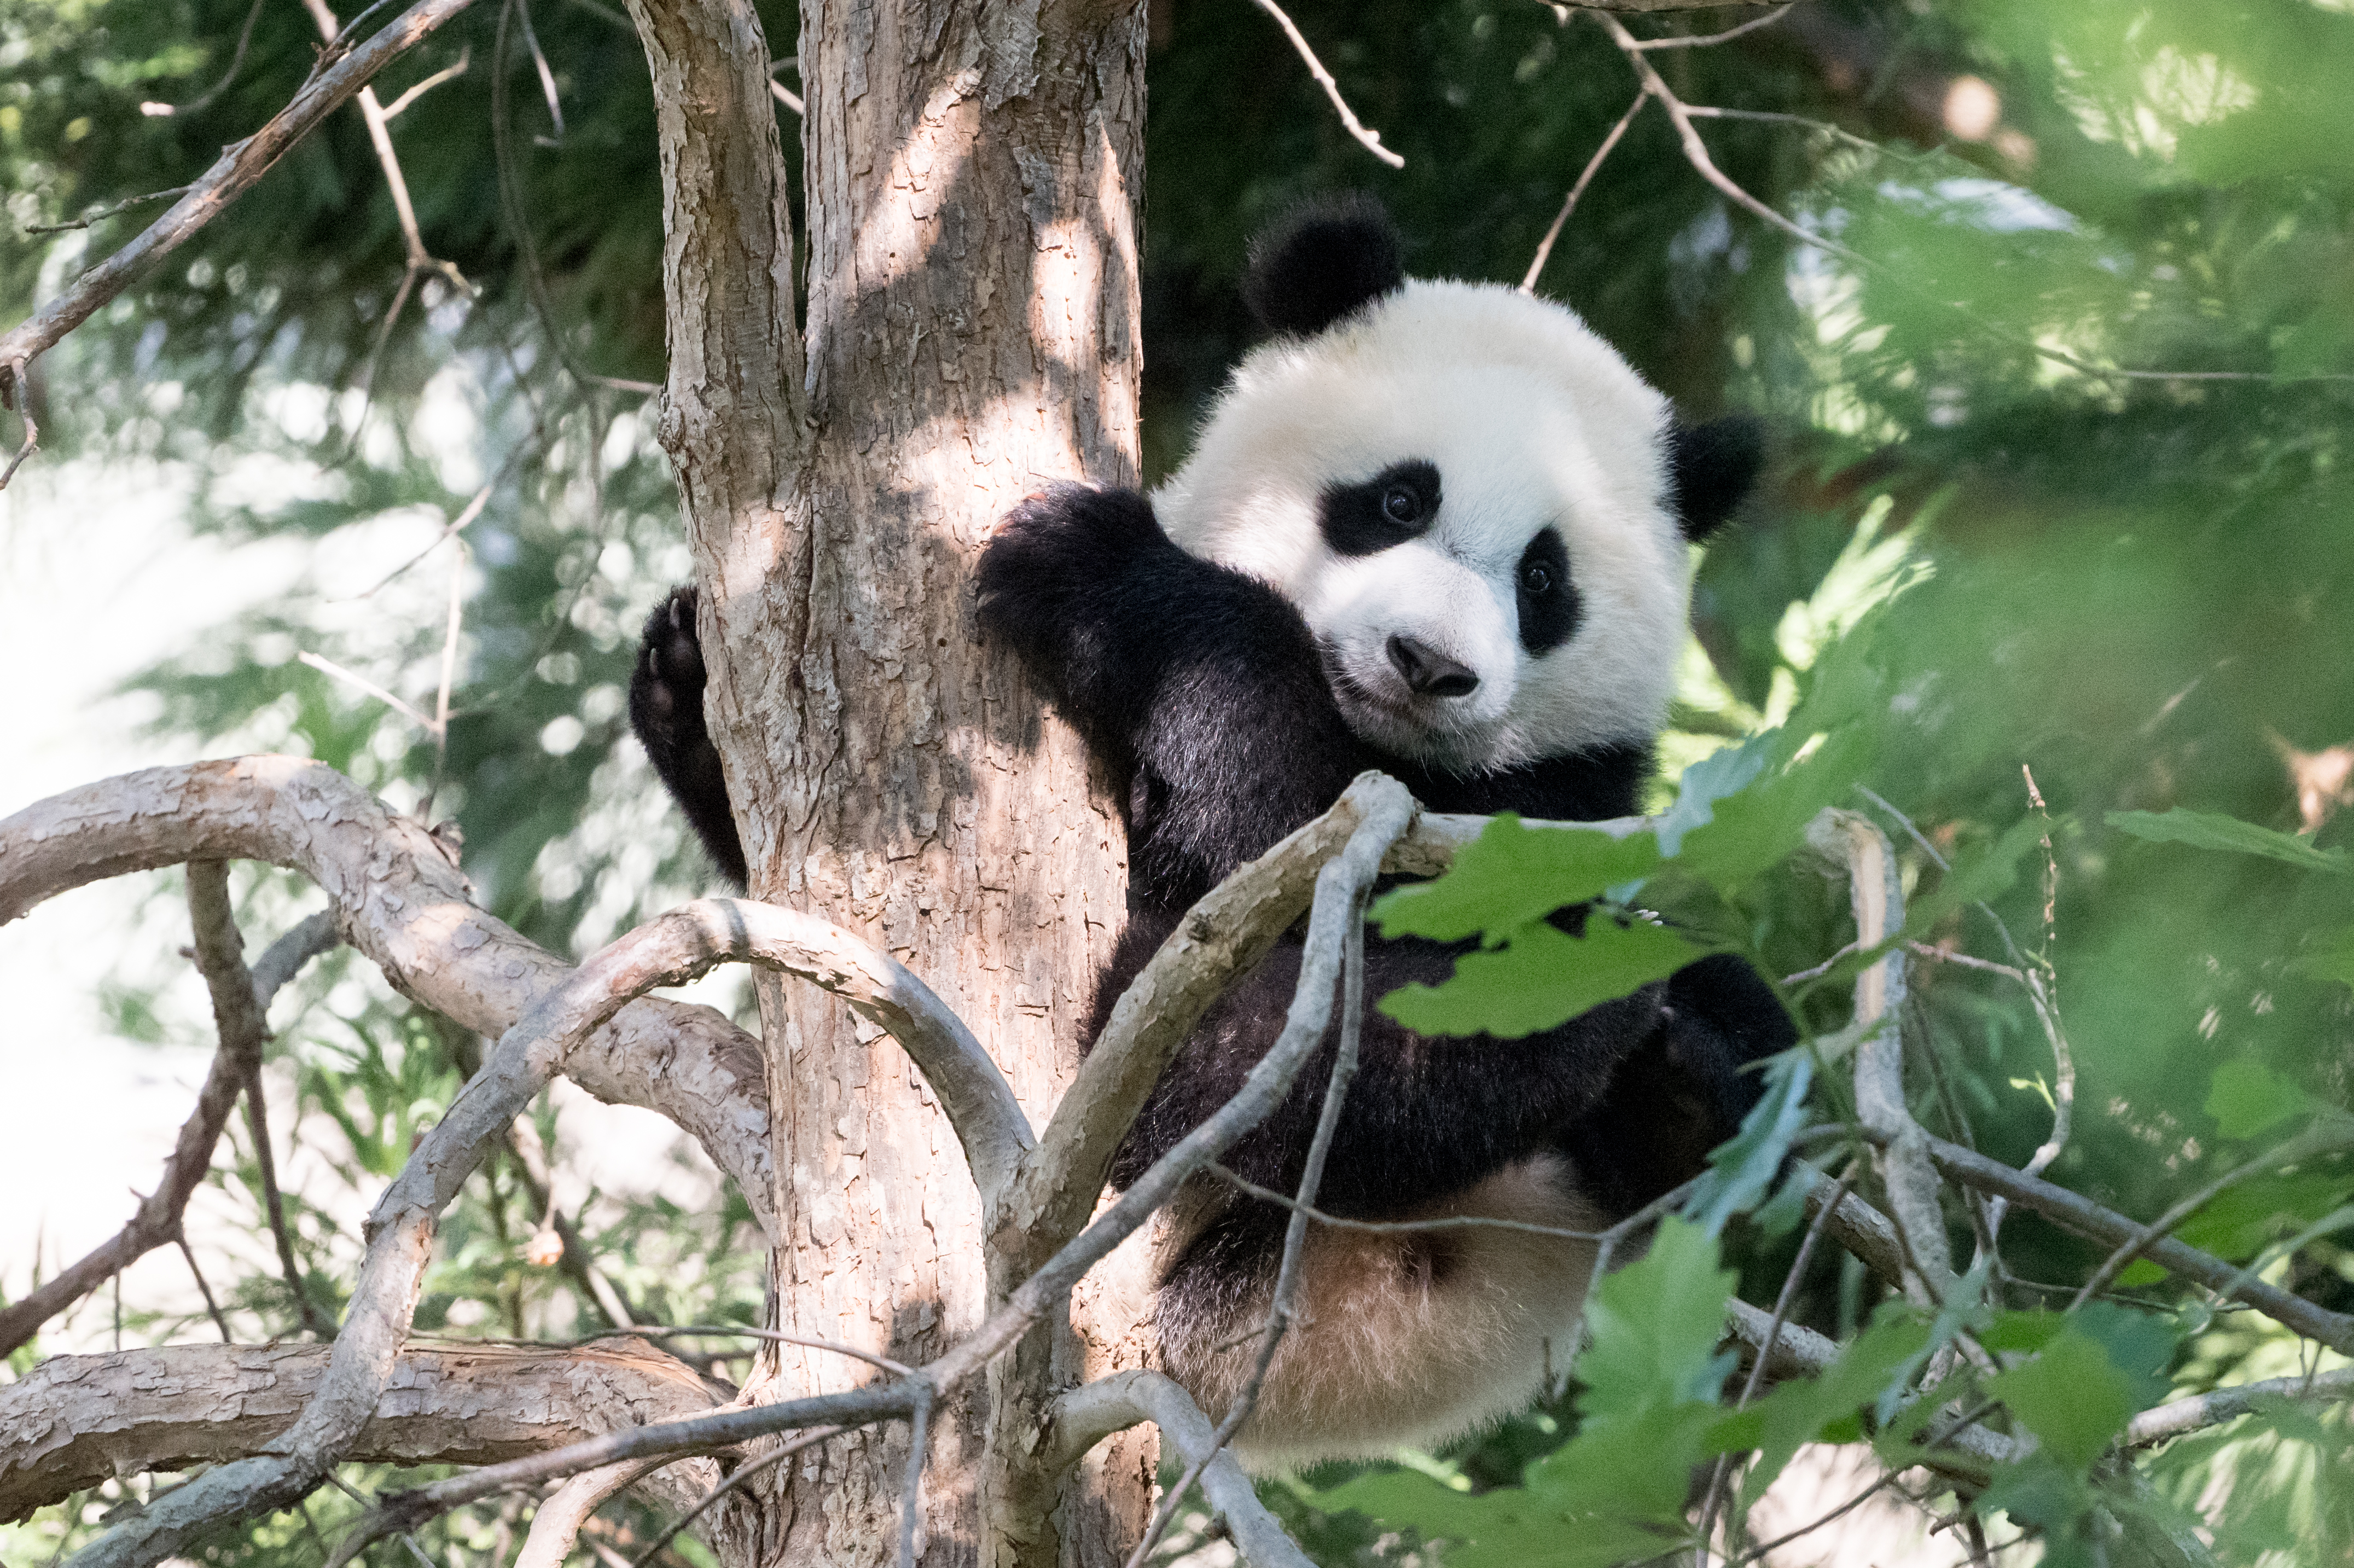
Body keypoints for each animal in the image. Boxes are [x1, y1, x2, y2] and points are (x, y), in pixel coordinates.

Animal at [626, 195, 1780, 1469]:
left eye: (1541, 579)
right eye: (1398, 501)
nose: (1428, 664)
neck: (1382, 734)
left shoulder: (1560, 802)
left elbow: (1286, 835)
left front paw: (1098, 570)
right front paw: (686, 680)